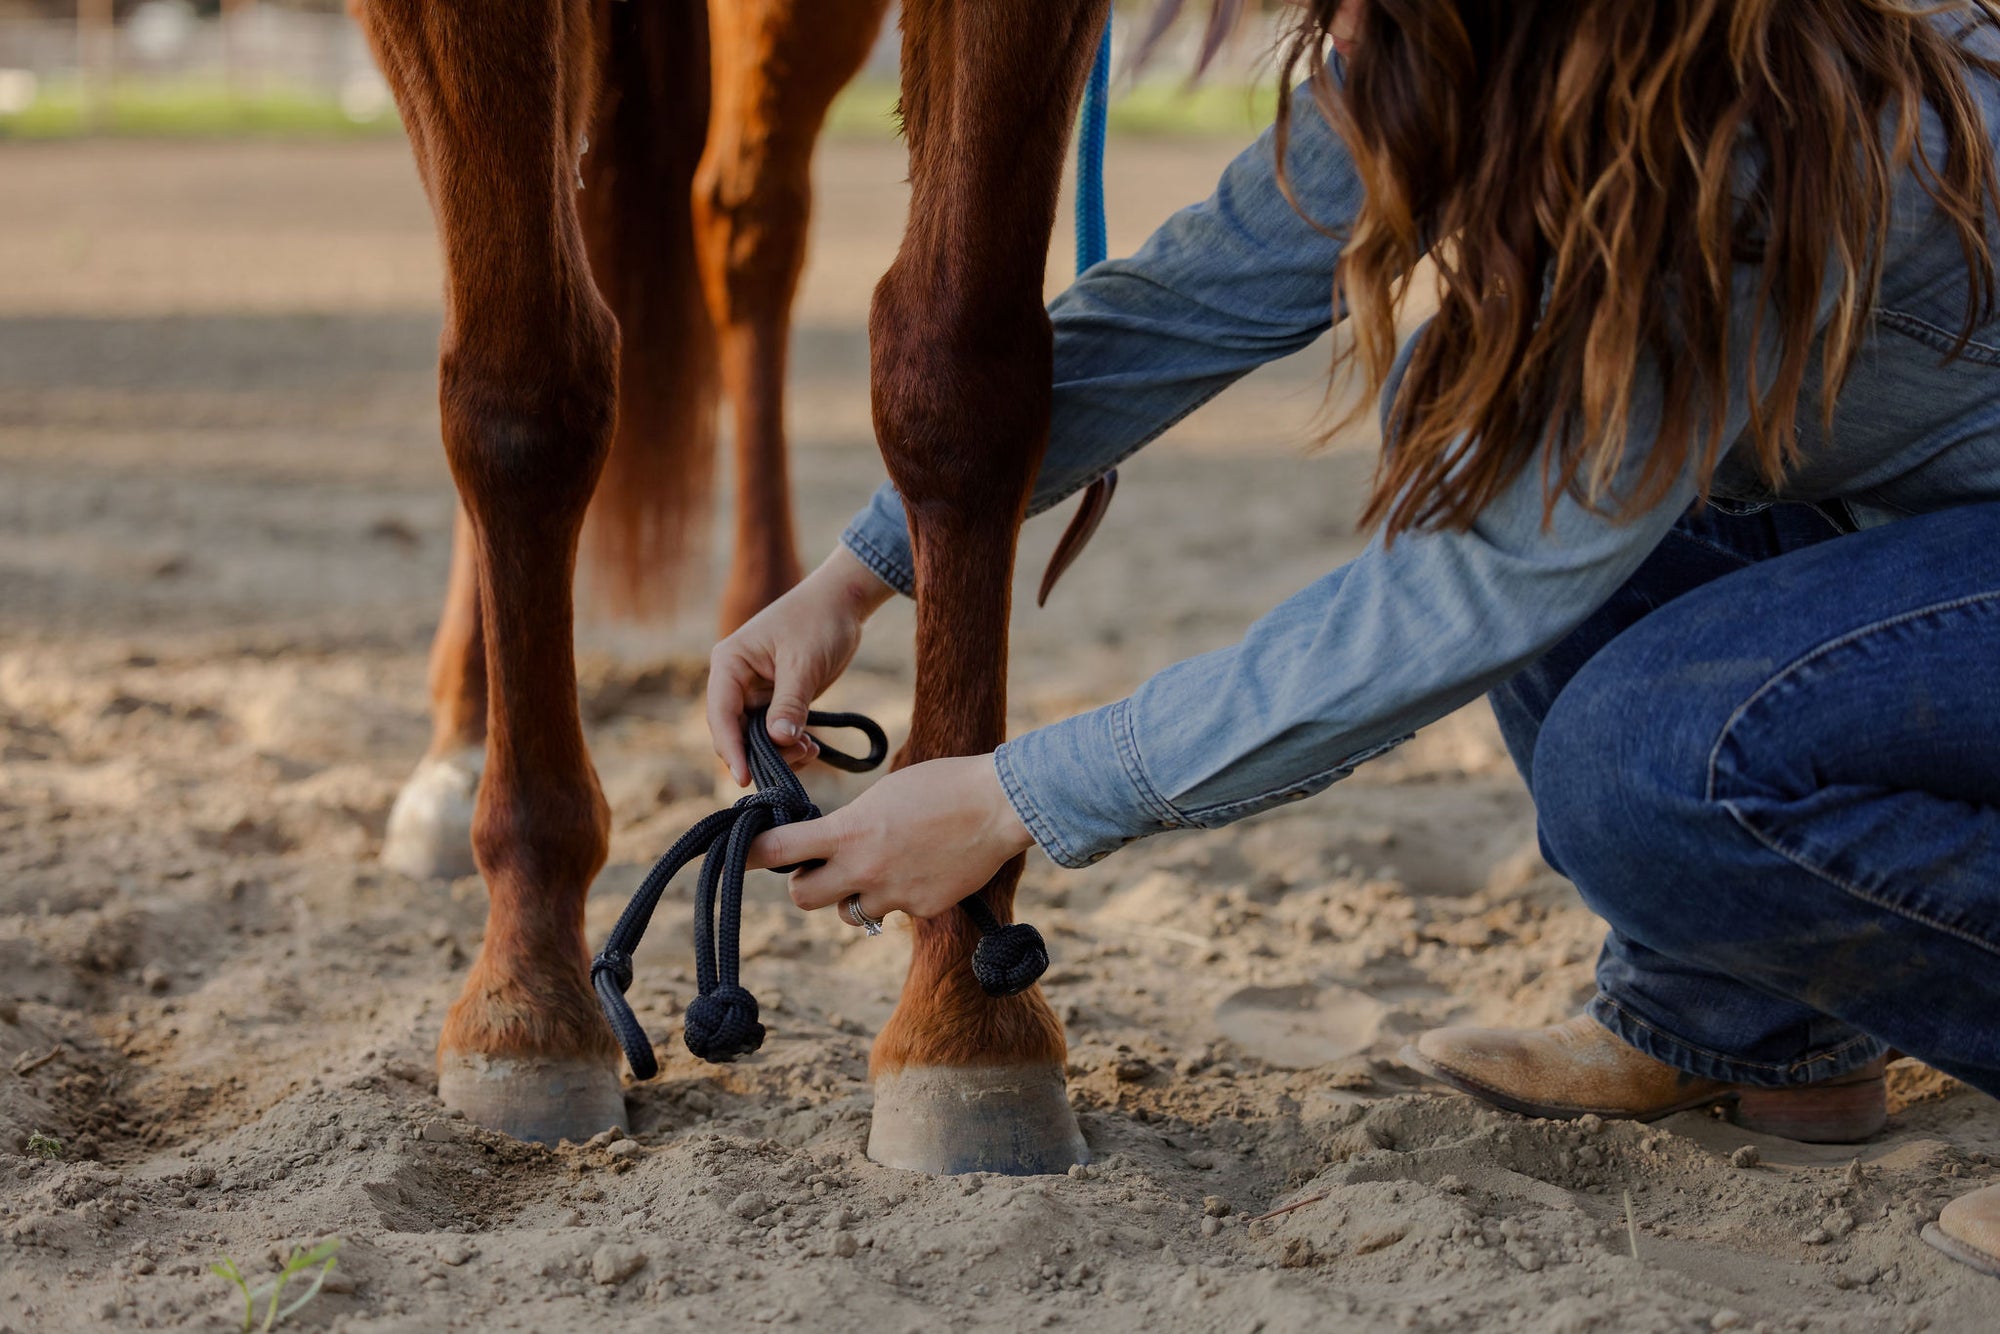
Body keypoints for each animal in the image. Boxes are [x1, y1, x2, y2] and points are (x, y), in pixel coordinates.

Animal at [356, 0, 1128, 1176]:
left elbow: (962, 369)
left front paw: (965, 1025)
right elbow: (519, 386)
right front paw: (527, 1002)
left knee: (748, 223)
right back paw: (460, 734)